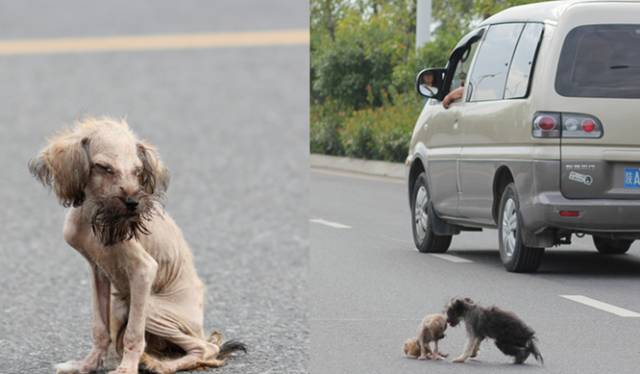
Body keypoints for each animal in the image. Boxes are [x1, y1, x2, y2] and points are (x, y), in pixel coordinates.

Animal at [29, 117, 245, 374]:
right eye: (104, 168)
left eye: (137, 171)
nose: (133, 203)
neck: (96, 214)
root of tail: (199, 327)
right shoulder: (97, 272)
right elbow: (100, 328)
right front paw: (87, 365)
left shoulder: (143, 270)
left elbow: (133, 334)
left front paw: (126, 368)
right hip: (120, 303)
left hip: (148, 308)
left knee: (205, 348)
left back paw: (157, 364)